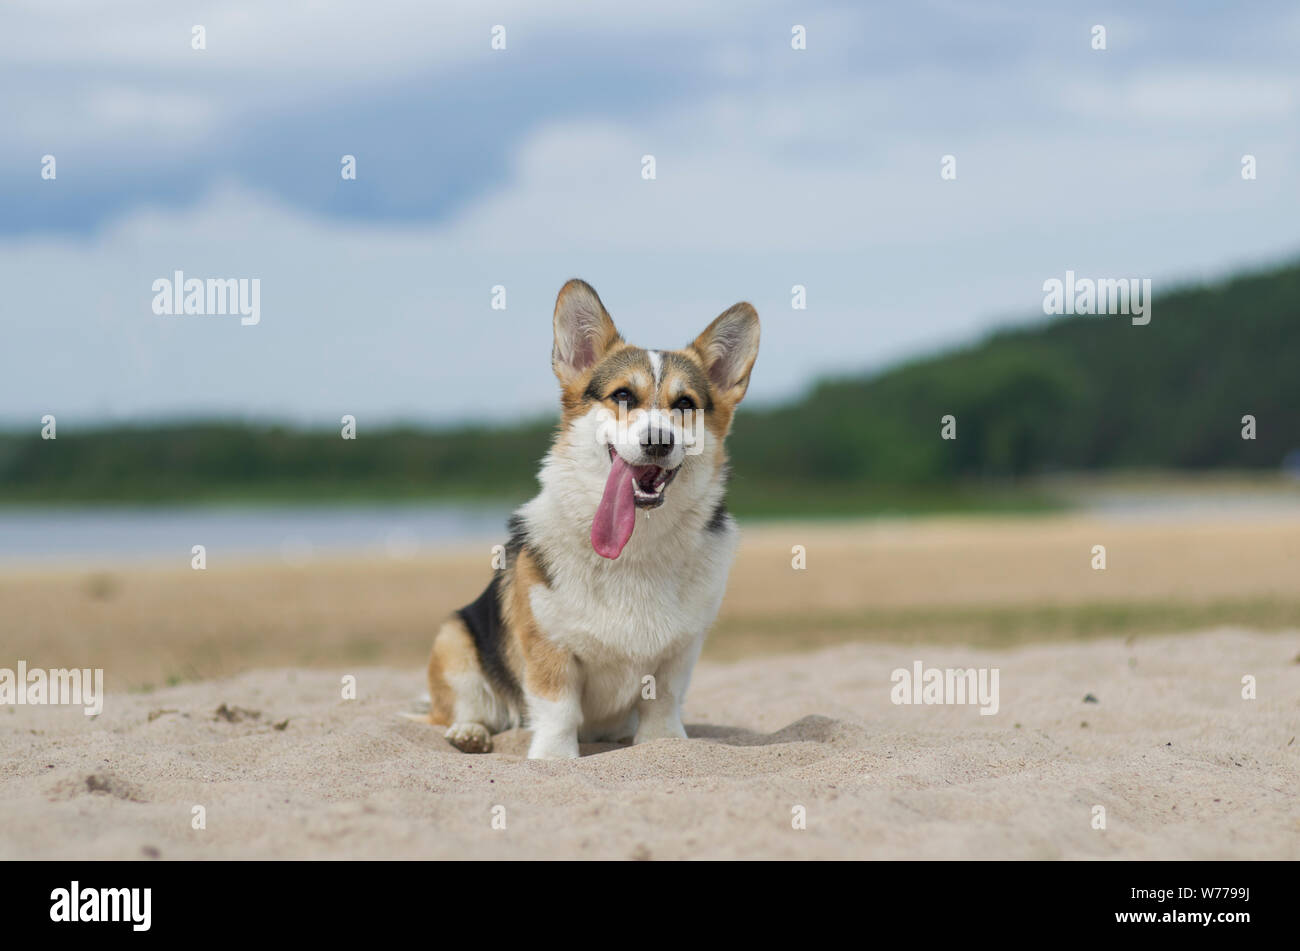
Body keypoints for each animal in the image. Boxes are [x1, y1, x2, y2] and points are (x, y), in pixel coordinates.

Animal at [421, 278, 759, 763]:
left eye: (684, 404)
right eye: (622, 395)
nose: (659, 441)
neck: (636, 548)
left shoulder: (680, 652)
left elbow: (663, 703)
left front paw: (665, 745)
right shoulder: (550, 646)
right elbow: (558, 707)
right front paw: (554, 759)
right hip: (455, 640)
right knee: (459, 711)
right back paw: (469, 733)